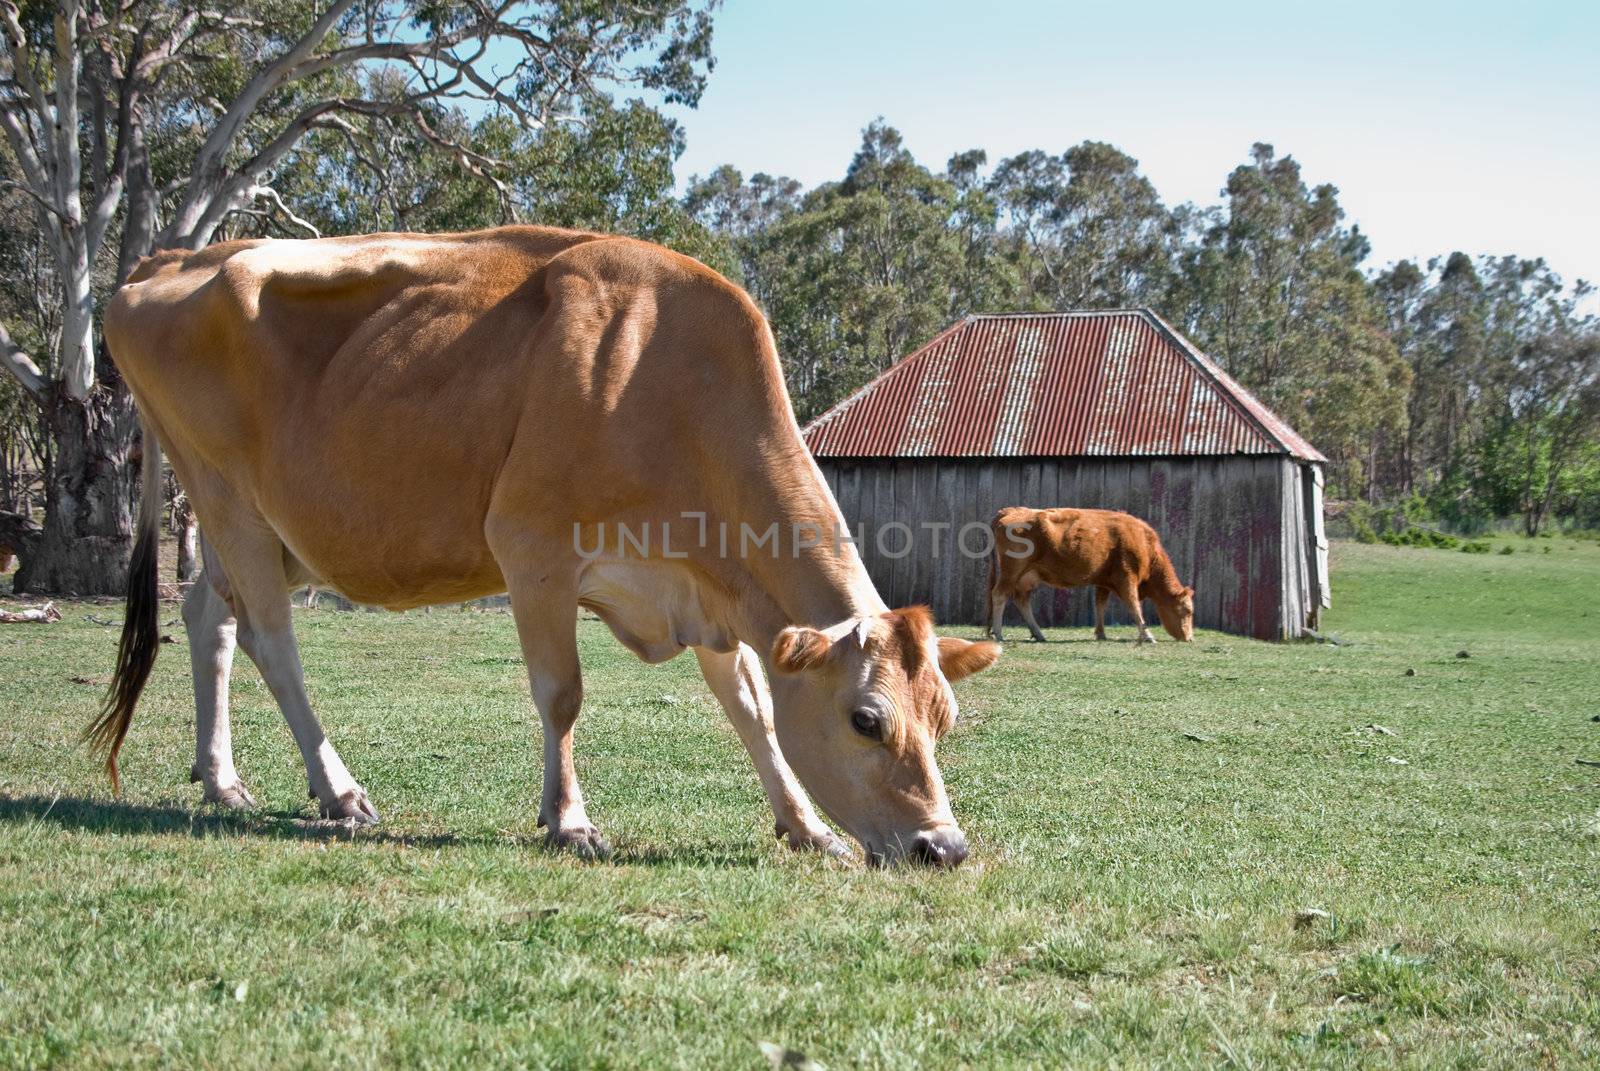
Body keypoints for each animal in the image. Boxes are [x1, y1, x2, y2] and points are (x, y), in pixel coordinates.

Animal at [87, 227, 998, 870]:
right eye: (866, 719)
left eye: (945, 717)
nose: (944, 848)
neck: (669, 387)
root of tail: (175, 257)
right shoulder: (534, 549)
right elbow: (563, 693)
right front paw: (569, 819)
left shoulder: (710, 591)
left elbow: (752, 708)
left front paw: (804, 825)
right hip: (228, 499)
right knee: (273, 643)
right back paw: (338, 790)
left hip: (257, 528)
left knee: (209, 617)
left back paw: (221, 777)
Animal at [979, 509, 1196, 646]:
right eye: (1187, 611)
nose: (1190, 638)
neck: (1144, 543)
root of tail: (1011, 510)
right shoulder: (1126, 579)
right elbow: (1134, 606)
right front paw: (1148, 635)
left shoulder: (1104, 581)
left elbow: (1100, 605)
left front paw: (1100, 633)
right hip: (1012, 570)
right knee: (999, 595)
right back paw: (999, 634)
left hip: (1027, 576)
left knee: (1021, 600)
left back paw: (1038, 634)